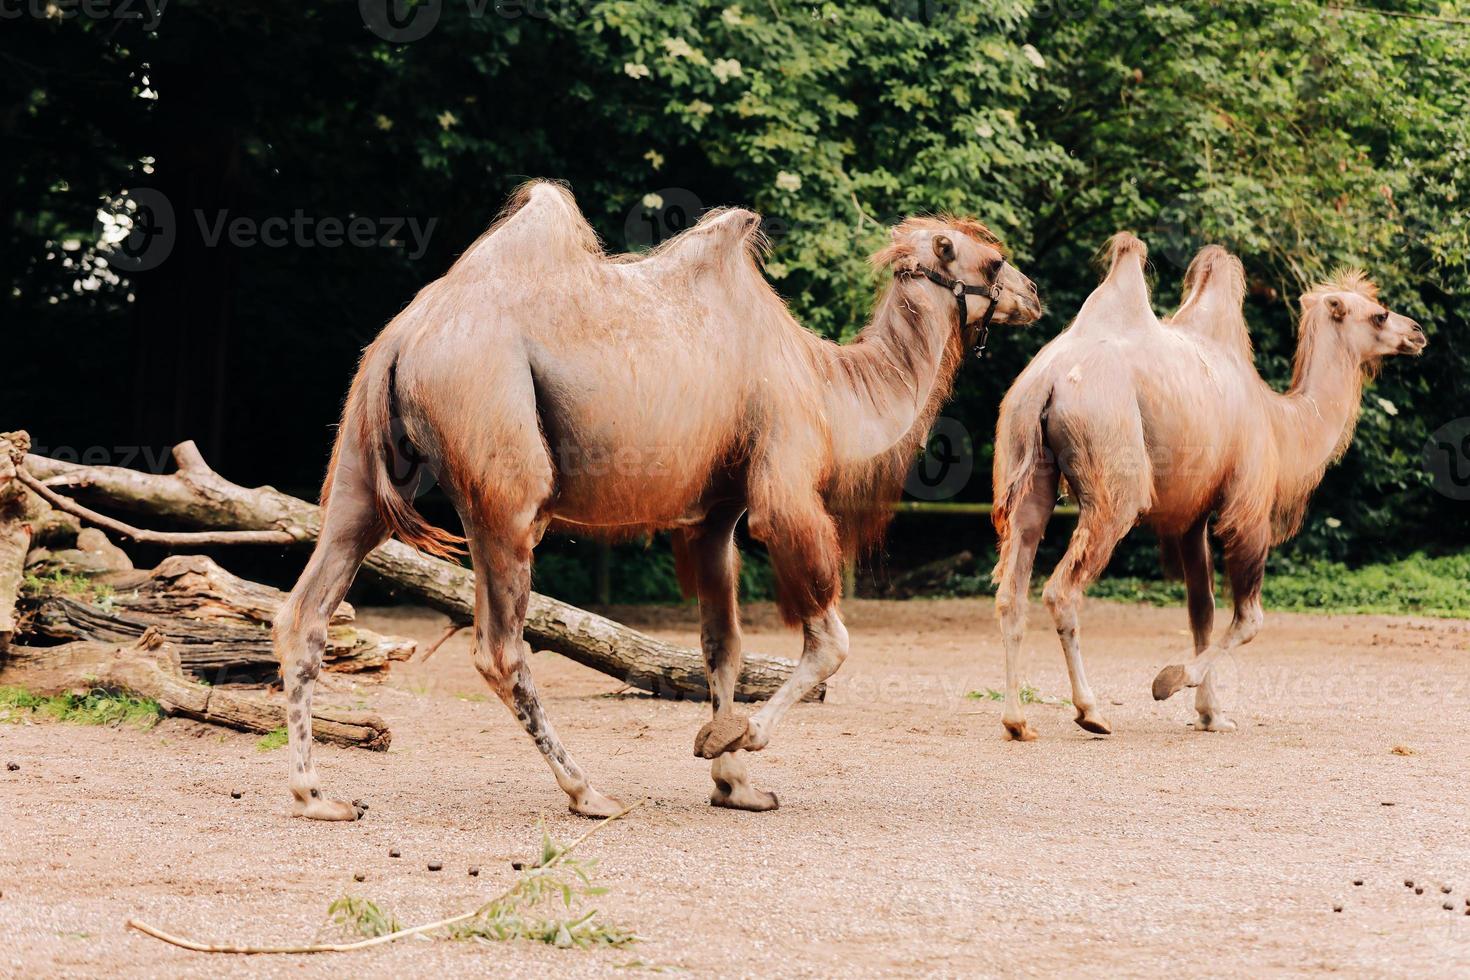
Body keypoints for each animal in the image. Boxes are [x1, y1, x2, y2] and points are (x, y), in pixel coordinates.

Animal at [273, 178, 1034, 822]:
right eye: (993, 259)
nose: (1032, 294)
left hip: (360, 473)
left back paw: (317, 795)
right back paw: (589, 793)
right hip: (504, 480)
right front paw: (736, 740)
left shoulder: (713, 517)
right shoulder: (784, 488)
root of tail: (402, 337)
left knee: (307, 608)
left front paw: (733, 783)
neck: (826, 385)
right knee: (501, 650)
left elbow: (722, 646)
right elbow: (830, 645)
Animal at [987, 235, 1422, 743]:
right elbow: (1248, 619)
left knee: (1011, 590)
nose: (1417, 332)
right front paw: (1171, 681)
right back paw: (1091, 711)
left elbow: (1202, 610)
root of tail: (1049, 380)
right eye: (1379, 314)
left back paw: (1017, 721)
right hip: (1113, 476)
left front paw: (1210, 713)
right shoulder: (1248, 506)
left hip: (1026, 464)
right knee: (1062, 589)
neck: (1281, 426)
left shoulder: (1191, 516)